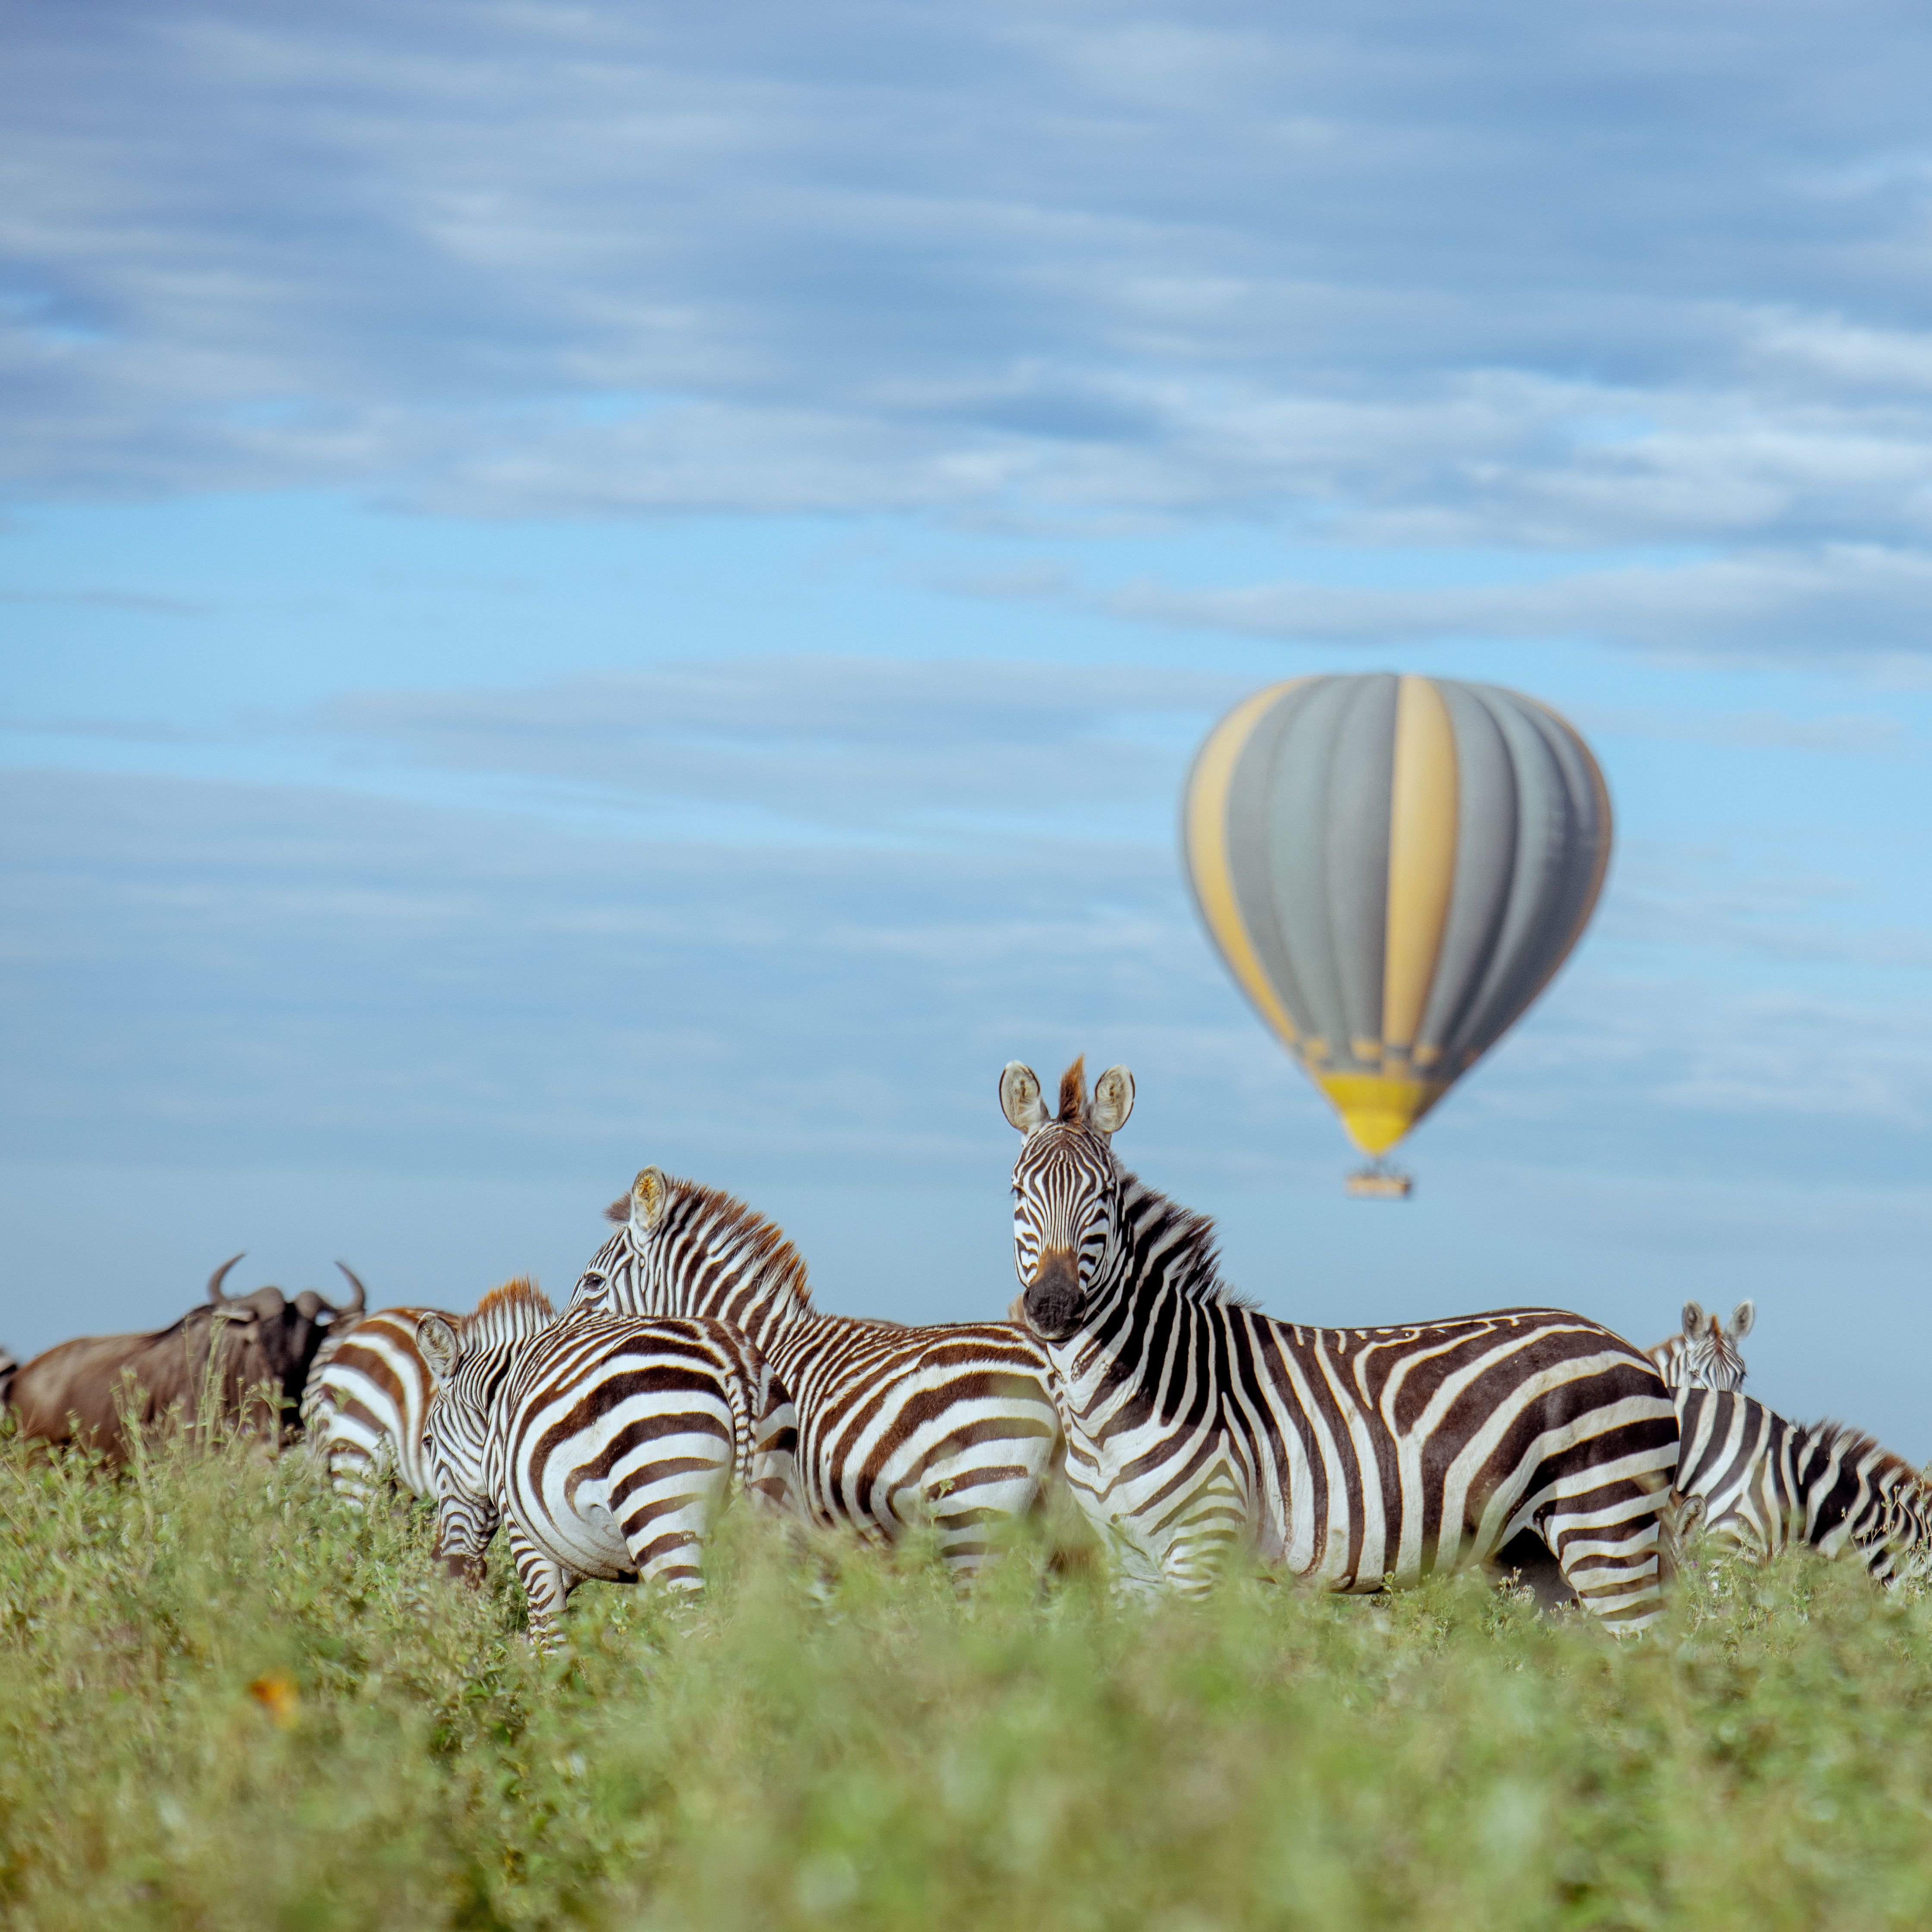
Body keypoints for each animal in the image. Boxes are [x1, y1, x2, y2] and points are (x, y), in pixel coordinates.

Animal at [416, 1277, 802, 1650]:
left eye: (428, 1442)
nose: (444, 1569)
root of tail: (730, 1359)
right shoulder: (573, 1542)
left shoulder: (525, 1532)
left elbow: (549, 1634)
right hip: (761, 1508)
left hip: (661, 1517)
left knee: (697, 1633)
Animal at [1001, 1057, 1682, 1630]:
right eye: (1016, 1192)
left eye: (1105, 1197)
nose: (1054, 1307)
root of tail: (1632, 1351)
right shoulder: (1130, 1565)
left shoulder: (1201, 1547)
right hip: (1538, 1554)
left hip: (1605, 1523)